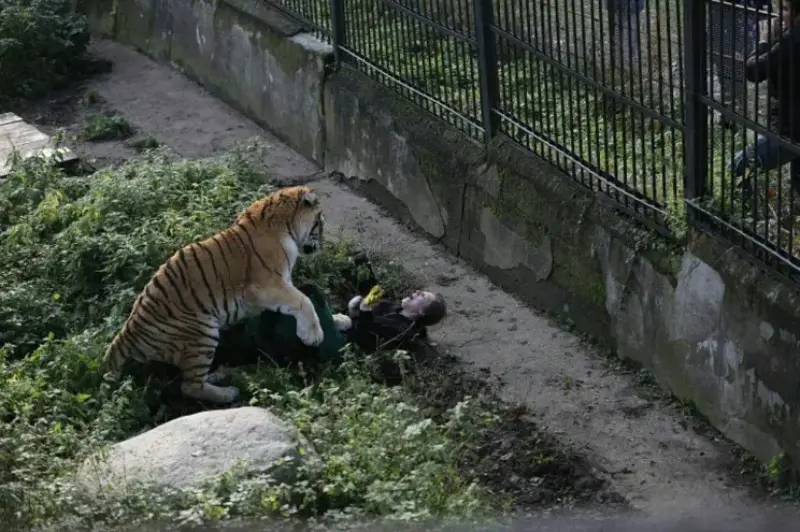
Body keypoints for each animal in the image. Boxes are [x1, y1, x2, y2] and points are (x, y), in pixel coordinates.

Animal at [102, 185, 324, 402]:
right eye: (320, 221)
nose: (323, 242)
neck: (285, 223)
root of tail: (126, 333)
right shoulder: (264, 286)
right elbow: (302, 300)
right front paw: (313, 335)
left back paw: (220, 374)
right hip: (202, 332)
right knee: (190, 386)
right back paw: (228, 393)